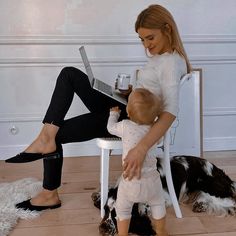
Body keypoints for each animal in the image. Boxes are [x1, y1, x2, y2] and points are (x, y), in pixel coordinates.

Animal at [91, 156, 236, 235]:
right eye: (106, 211)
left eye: (118, 215)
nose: (102, 229)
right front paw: (97, 195)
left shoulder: (166, 197)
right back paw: (200, 205)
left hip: (211, 187)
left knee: (230, 201)